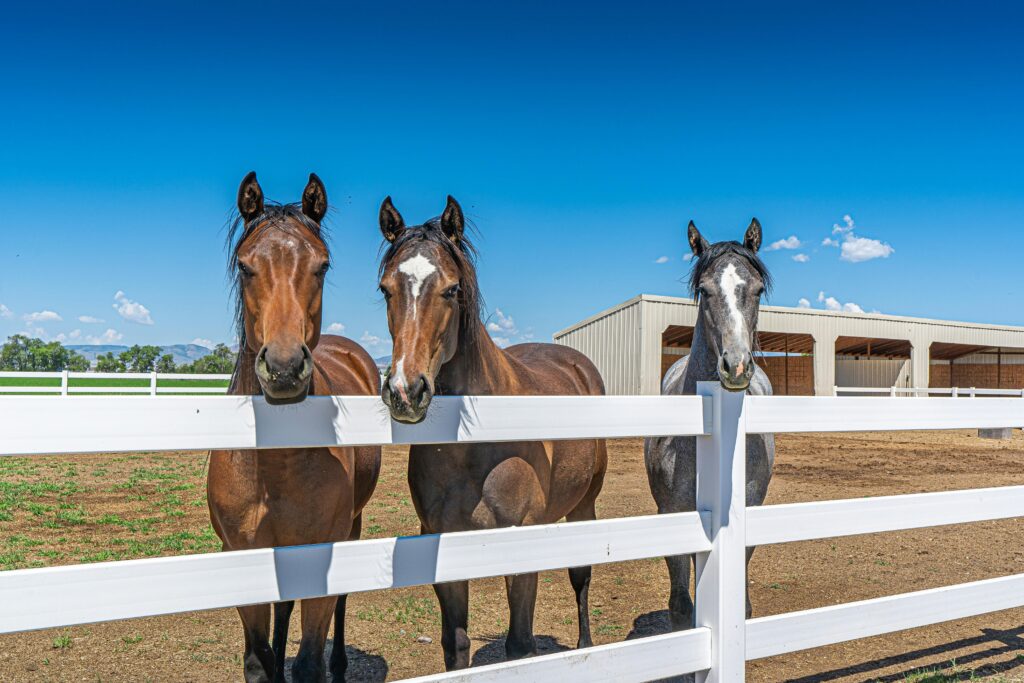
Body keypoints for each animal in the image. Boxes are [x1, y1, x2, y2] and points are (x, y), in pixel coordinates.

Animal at [207, 172, 382, 683]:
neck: (276, 464)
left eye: (322, 265)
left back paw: (340, 664)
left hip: (352, 526)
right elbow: (258, 659)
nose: (284, 369)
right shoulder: (243, 556)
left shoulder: (323, 551)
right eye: (245, 266)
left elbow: (308, 662)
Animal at [375, 196, 608, 670]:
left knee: (580, 578)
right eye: (386, 289)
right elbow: (456, 645)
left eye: (452, 289)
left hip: (584, 506)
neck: (474, 449)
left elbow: (519, 645)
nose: (405, 391)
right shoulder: (443, 544)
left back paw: (586, 646)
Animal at [644, 219, 776, 636]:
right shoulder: (671, 513)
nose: (736, 365)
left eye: (758, 289)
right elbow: (680, 608)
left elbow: (742, 603)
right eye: (704, 290)